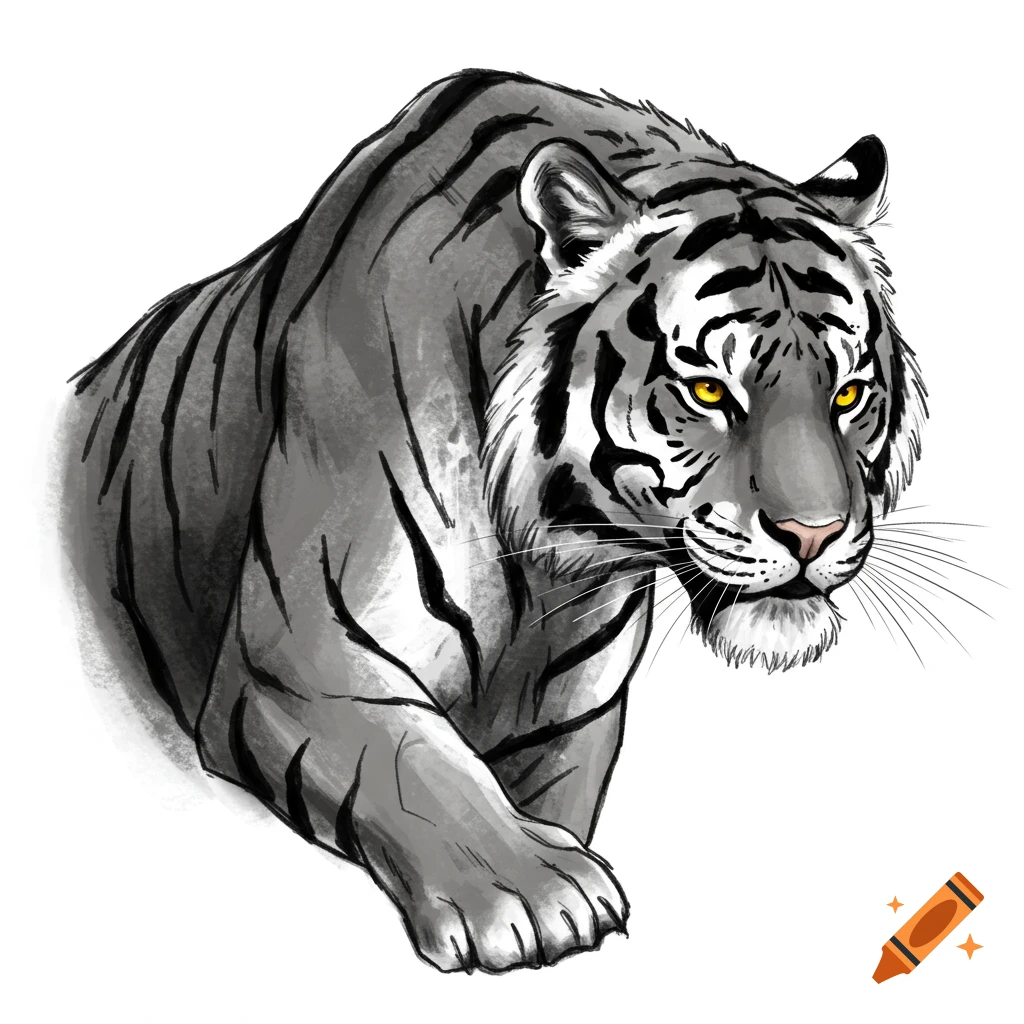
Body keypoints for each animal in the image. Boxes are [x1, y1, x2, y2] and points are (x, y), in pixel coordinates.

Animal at [58, 68, 927, 974]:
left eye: (848, 394)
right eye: (709, 391)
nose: (814, 534)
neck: (552, 560)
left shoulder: (568, 725)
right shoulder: (297, 661)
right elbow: (417, 766)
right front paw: (535, 889)